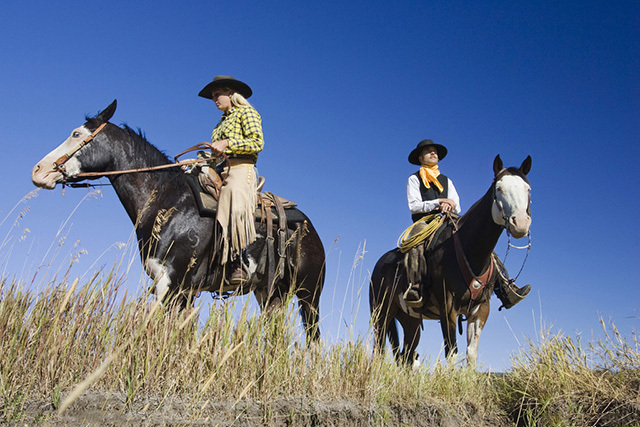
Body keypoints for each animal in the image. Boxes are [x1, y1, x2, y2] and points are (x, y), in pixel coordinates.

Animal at [31, 99, 324, 342]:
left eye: (76, 134)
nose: (39, 171)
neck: (169, 202)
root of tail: (310, 230)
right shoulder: (180, 289)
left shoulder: (172, 283)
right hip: (270, 293)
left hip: (309, 294)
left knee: (313, 339)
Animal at [368, 157, 532, 368]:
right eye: (499, 188)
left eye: (528, 189)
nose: (520, 223)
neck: (470, 251)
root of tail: (379, 265)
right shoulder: (447, 309)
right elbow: (452, 353)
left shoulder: (481, 310)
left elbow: (471, 354)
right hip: (381, 314)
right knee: (379, 350)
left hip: (410, 321)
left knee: (406, 355)